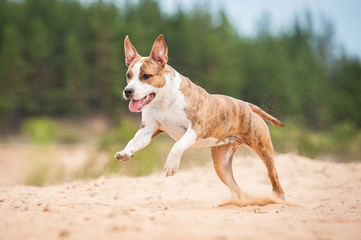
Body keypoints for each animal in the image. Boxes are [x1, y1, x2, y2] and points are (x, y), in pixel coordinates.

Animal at [115, 34, 284, 202]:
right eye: (128, 75)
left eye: (146, 76)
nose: (128, 91)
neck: (164, 101)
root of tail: (247, 105)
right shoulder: (147, 131)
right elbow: (133, 141)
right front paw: (125, 152)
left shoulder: (195, 129)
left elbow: (177, 146)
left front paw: (171, 165)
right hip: (221, 164)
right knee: (236, 187)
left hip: (263, 148)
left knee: (273, 174)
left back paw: (277, 198)